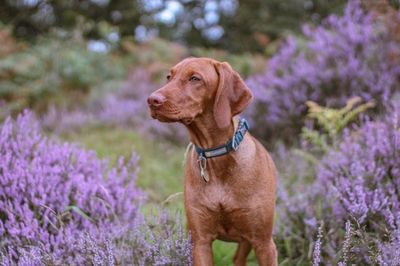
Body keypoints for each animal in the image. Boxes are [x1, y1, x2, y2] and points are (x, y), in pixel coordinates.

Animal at [148, 57, 278, 264]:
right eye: (169, 77)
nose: (152, 100)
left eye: (195, 78)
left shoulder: (264, 243)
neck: (216, 157)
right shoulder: (201, 241)